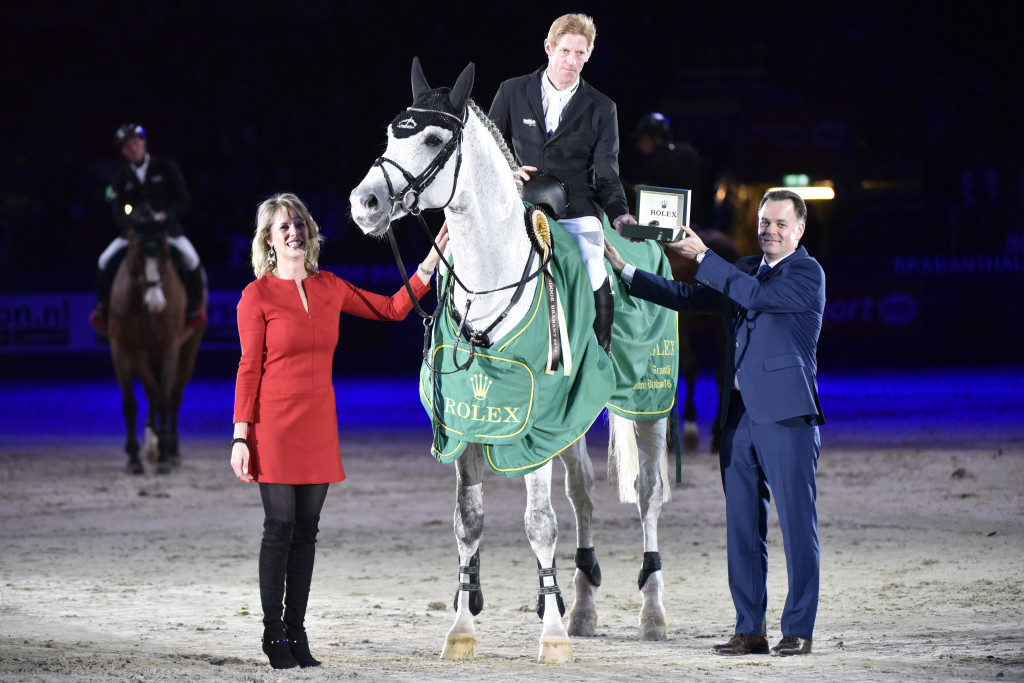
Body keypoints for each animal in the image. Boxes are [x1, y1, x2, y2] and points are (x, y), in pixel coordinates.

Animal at [106, 210, 205, 473]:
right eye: (136, 255)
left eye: (166, 255)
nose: (157, 303)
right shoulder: (124, 349)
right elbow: (134, 400)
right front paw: (134, 456)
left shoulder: (169, 347)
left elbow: (164, 398)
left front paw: (164, 456)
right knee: (153, 390)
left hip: (188, 348)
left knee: (175, 396)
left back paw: (172, 449)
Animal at [348, 60, 675, 663]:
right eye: (390, 134)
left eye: (433, 139)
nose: (366, 203)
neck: (491, 280)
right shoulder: (470, 424)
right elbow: (469, 522)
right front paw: (462, 629)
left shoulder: (532, 425)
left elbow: (540, 524)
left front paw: (550, 636)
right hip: (571, 418)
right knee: (583, 494)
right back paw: (583, 609)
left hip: (649, 404)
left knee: (647, 494)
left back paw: (652, 613)